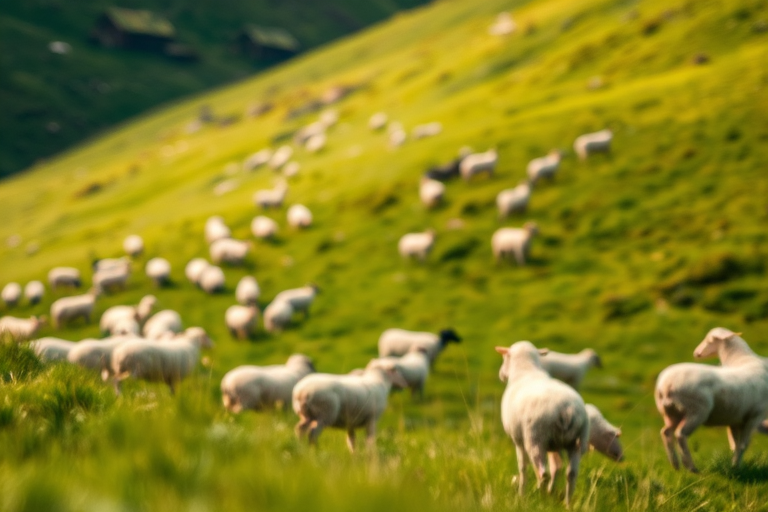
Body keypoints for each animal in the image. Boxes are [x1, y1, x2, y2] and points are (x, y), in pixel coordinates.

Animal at [496, 341, 589, 507]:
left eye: (505, 357)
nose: (501, 375)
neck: (526, 370)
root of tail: (567, 410)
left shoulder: (518, 440)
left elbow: (523, 468)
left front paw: (521, 494)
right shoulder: (554, 446)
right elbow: (556, 467)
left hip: (535, 438)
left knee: (543, 473)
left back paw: (538, 496)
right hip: (576, 440)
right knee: (570, 473)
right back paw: (566, 503)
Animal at [655, 327, 768, 473]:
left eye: (710, 340)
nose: (696, 353)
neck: (742, 359)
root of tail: (666, 385)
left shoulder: (735, 419)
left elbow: (735, 445)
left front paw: (734, 466)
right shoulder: (755, 416)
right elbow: (743, 445)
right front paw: (737, 468)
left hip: (671, 412)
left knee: (666, 432)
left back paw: (675, 465)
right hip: (697, 410)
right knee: (680, 434)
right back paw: (691, 467)